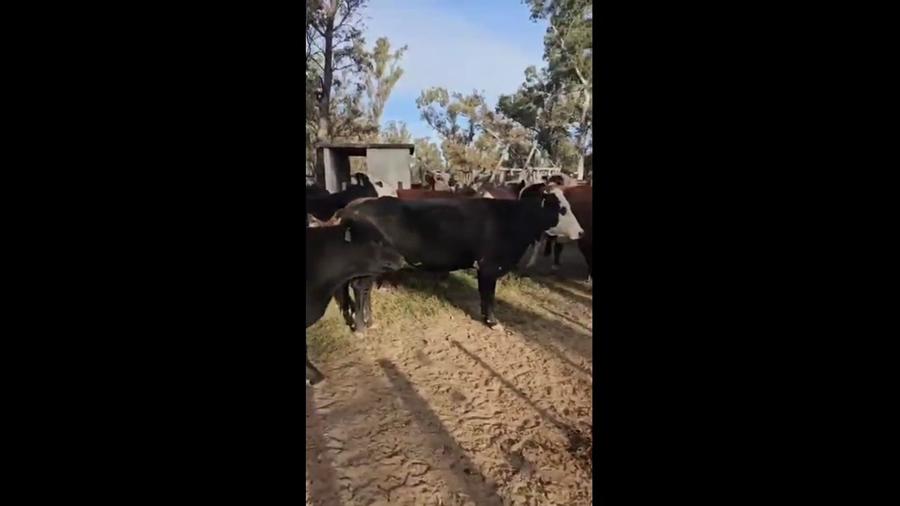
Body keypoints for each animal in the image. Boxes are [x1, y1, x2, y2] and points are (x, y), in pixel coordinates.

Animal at [334, 187, 584, 334]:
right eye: (562, 209)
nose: (581, 232)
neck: (511, 219)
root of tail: (354, 207)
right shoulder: (490, 266)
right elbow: (489, 295)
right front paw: (493, 322)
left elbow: (484, 294)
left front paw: (485, 317)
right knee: (360, 288)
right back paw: (361, 328)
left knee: (364, 290)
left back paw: (369, 321)